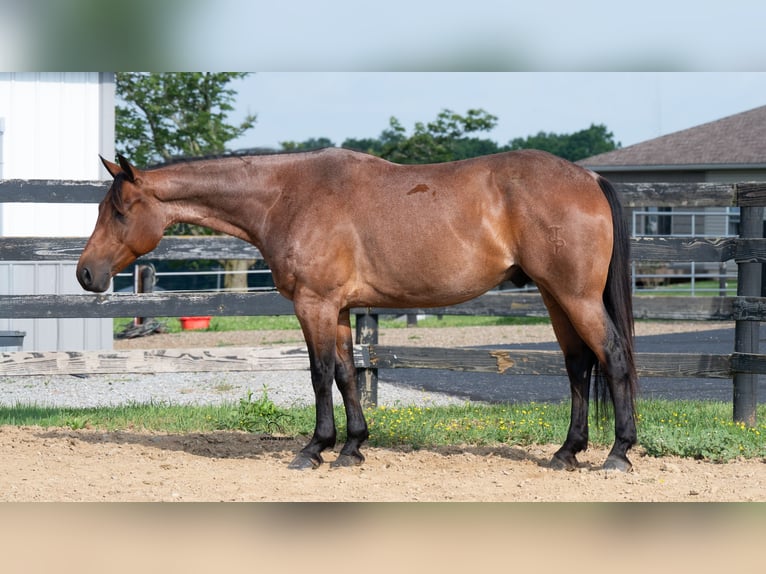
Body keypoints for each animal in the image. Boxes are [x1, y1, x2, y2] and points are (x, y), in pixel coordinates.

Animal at [77, 148, 637, 472]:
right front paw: (352, 448)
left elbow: (320, 372)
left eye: (119, 211)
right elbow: (348, 373)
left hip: (574, 296)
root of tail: (589, 178)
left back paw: (618, 453)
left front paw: (314, 449)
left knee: (613, 357)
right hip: (554, 296)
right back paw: (567, 452)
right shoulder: (341, 309)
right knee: (578, 364)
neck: (288, 196)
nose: (86, 274)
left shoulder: (315, 304)